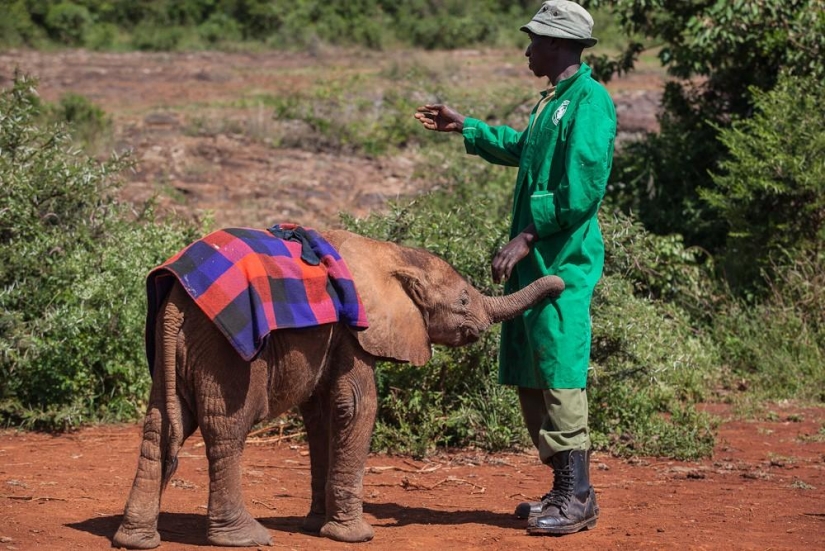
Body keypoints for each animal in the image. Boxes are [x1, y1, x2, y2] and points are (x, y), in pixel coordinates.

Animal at [112, 228, 564, 549]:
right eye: (464, 301)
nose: (560, 285)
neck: (390, 254)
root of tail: (175, 301)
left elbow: (320, 414)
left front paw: (316, 526)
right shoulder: (356, 328)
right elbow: (356, 405)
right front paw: (355, 536)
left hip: (178, 346)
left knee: (161, 424)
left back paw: (135, 539)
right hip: (225, 351)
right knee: (229, 428)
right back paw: (243, 538)